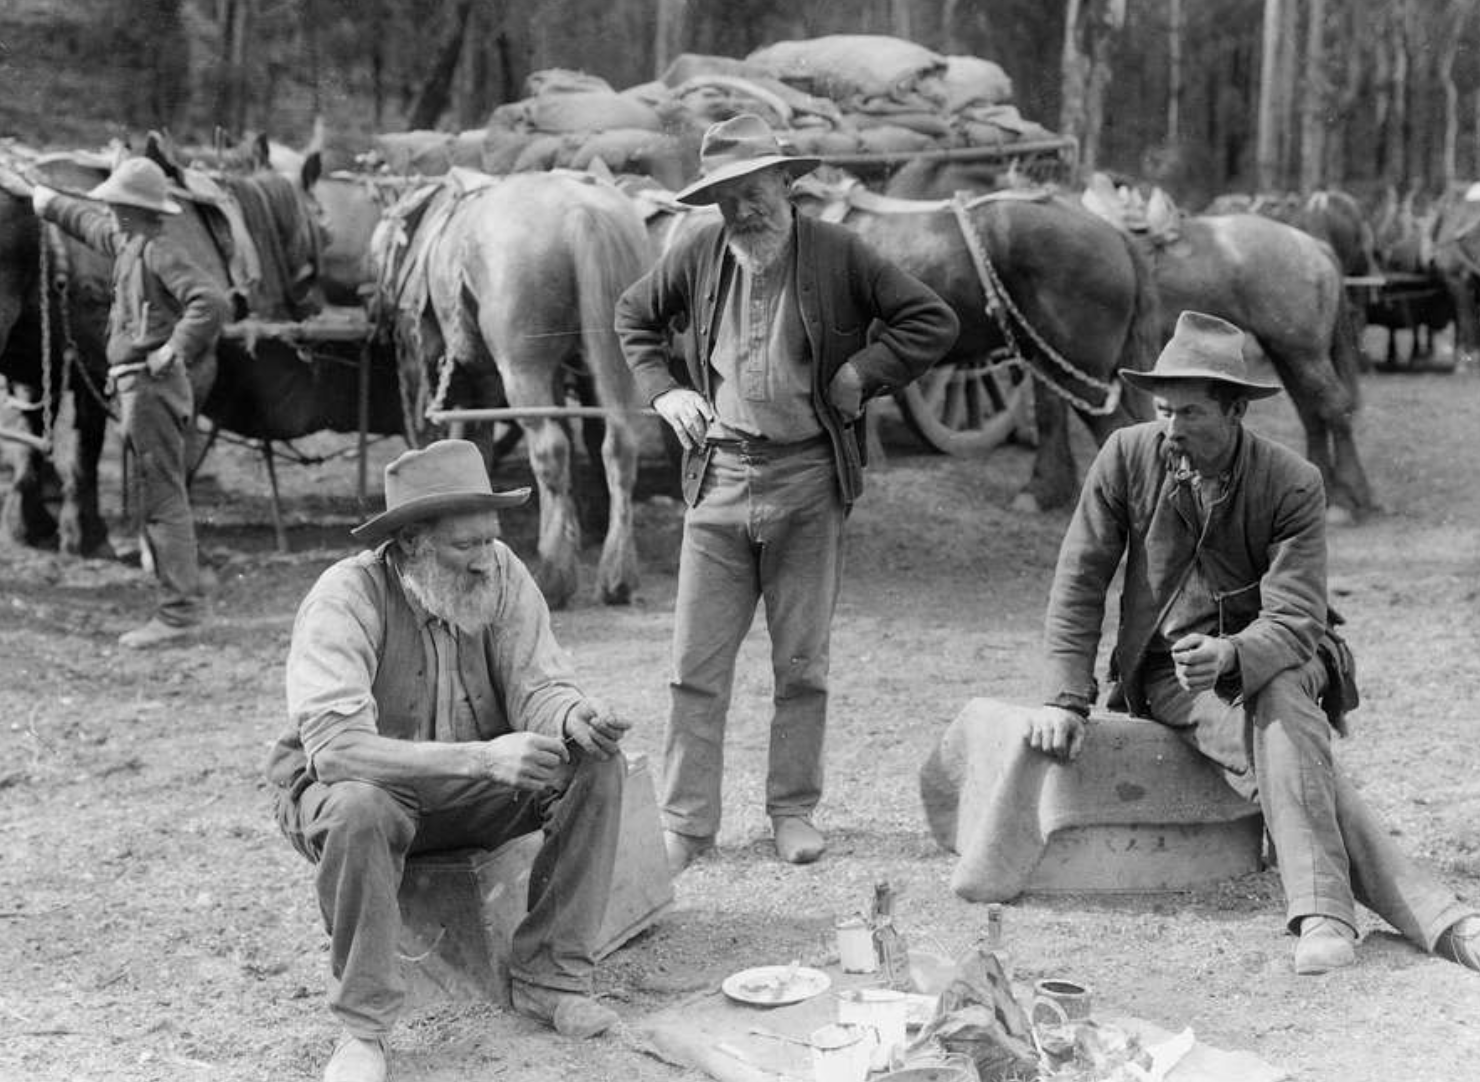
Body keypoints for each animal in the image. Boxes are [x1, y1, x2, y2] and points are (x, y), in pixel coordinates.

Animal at [368, 169, 648, 609]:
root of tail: (582, 211)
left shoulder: (432, 367)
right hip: (614, 365)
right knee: (618, 444)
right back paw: (616, 577)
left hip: (522, 369)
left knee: (551, 449)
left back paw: (554, 573)